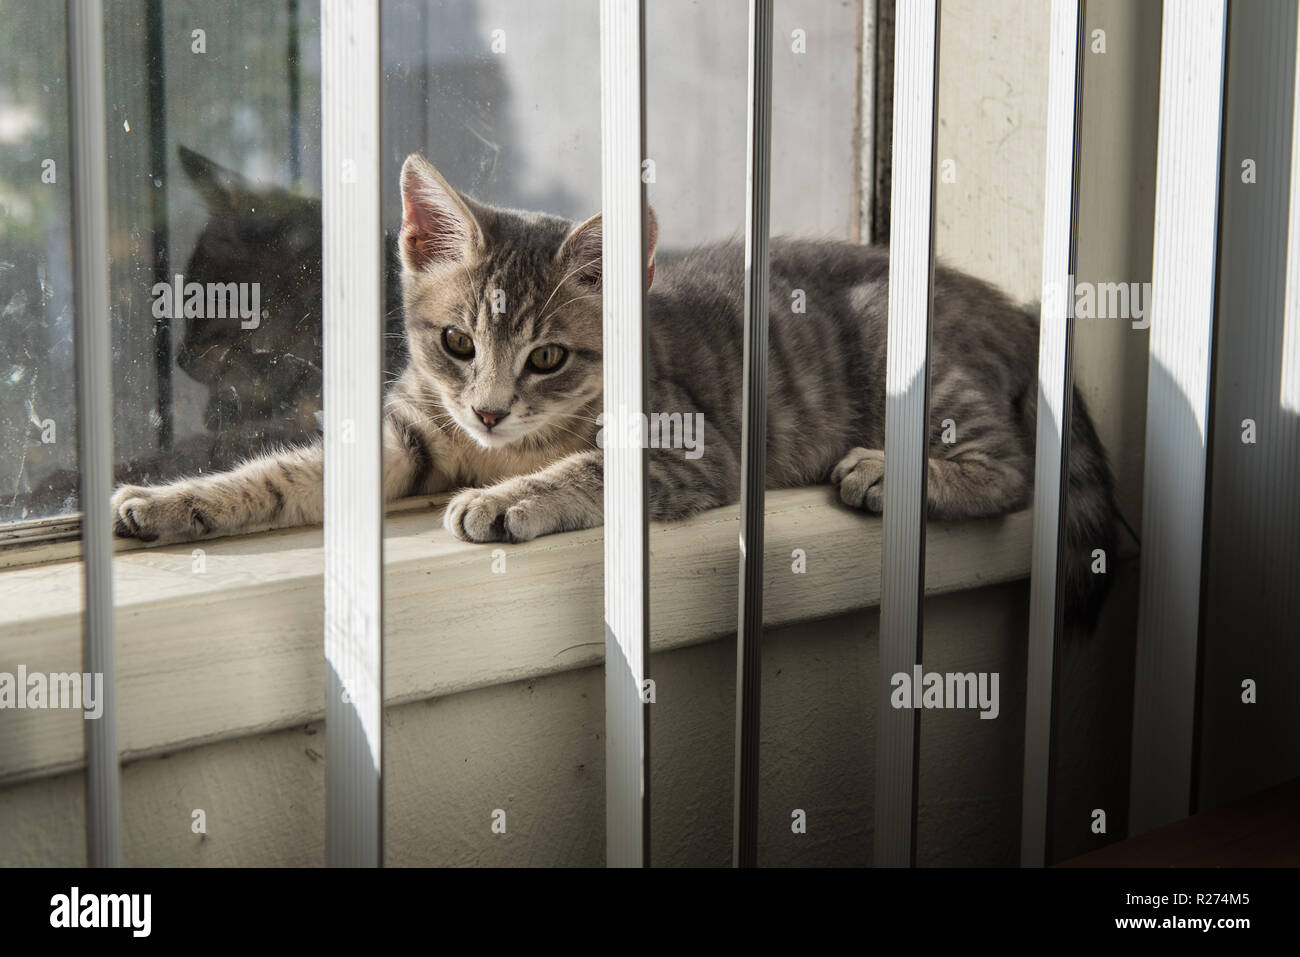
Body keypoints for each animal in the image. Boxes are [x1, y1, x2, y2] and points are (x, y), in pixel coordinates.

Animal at [114, 153, 1118, 624]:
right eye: (456, 341)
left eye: (548, 357)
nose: (487, 409)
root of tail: (1008, 303)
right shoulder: (408, 431)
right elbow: (284, 473)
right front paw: (170, 501)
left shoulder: (691, 449)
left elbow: (586, 471)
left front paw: (507, 499)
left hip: (915, 359)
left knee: (1012, 464)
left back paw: (886, 471)